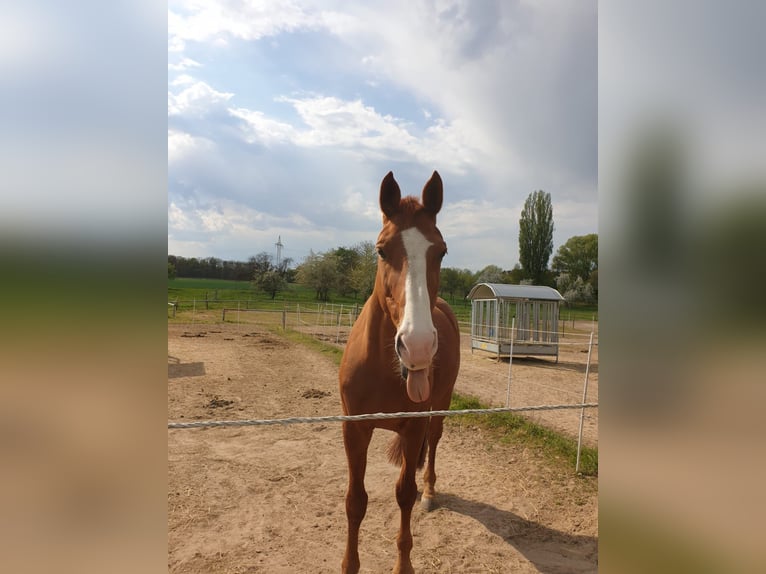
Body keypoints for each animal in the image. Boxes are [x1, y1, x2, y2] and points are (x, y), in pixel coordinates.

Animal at [338, 171, 461, 574]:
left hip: (440, 408)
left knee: (433, 447)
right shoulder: (354, 429)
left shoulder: (414, 427)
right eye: (380, 250)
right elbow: (355, 500)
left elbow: (404, 494)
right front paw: (350, 564)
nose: (417, 345)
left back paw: (431, 491)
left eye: (441, 251)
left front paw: (403, 564)